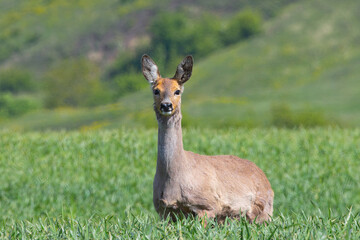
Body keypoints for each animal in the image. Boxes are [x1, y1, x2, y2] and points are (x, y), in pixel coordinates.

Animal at [141, 55, 272, 224]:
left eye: (177, 91)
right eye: (156, 90)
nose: (166, 105)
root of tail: (266, 179)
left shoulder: (207, 205)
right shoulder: (164, 211)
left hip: (263, 211)